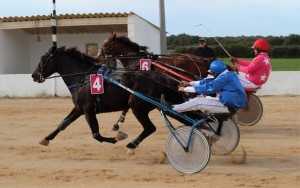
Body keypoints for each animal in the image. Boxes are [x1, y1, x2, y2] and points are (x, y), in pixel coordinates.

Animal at [32, 46, 199, 155]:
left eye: (43, 59)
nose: (34, 75)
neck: (83, 77)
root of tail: (162, 78)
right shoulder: (79, 108)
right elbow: (63, 124)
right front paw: (45, 139)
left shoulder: (88, 109)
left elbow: (96, 135)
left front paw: (116, 138)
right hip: (162, 105)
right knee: (187, 119)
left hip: (137, 106)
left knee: (150, 128)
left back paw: (132, 146)